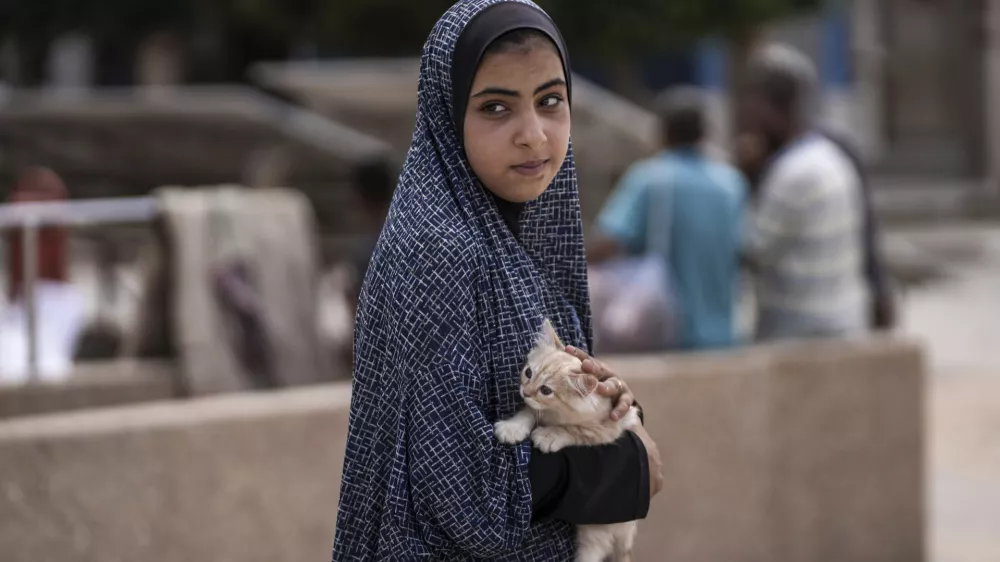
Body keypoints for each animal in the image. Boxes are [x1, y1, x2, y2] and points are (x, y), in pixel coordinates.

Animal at [494, 318, 640, 556]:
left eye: (546, 390)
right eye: (528, 373)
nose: (526, 392)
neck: (556, 413)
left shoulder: (609, 428)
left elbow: (573, 430)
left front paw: (549, 435)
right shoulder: (536, 409)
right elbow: (527, 412)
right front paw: (512, 428)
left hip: (596, 531)